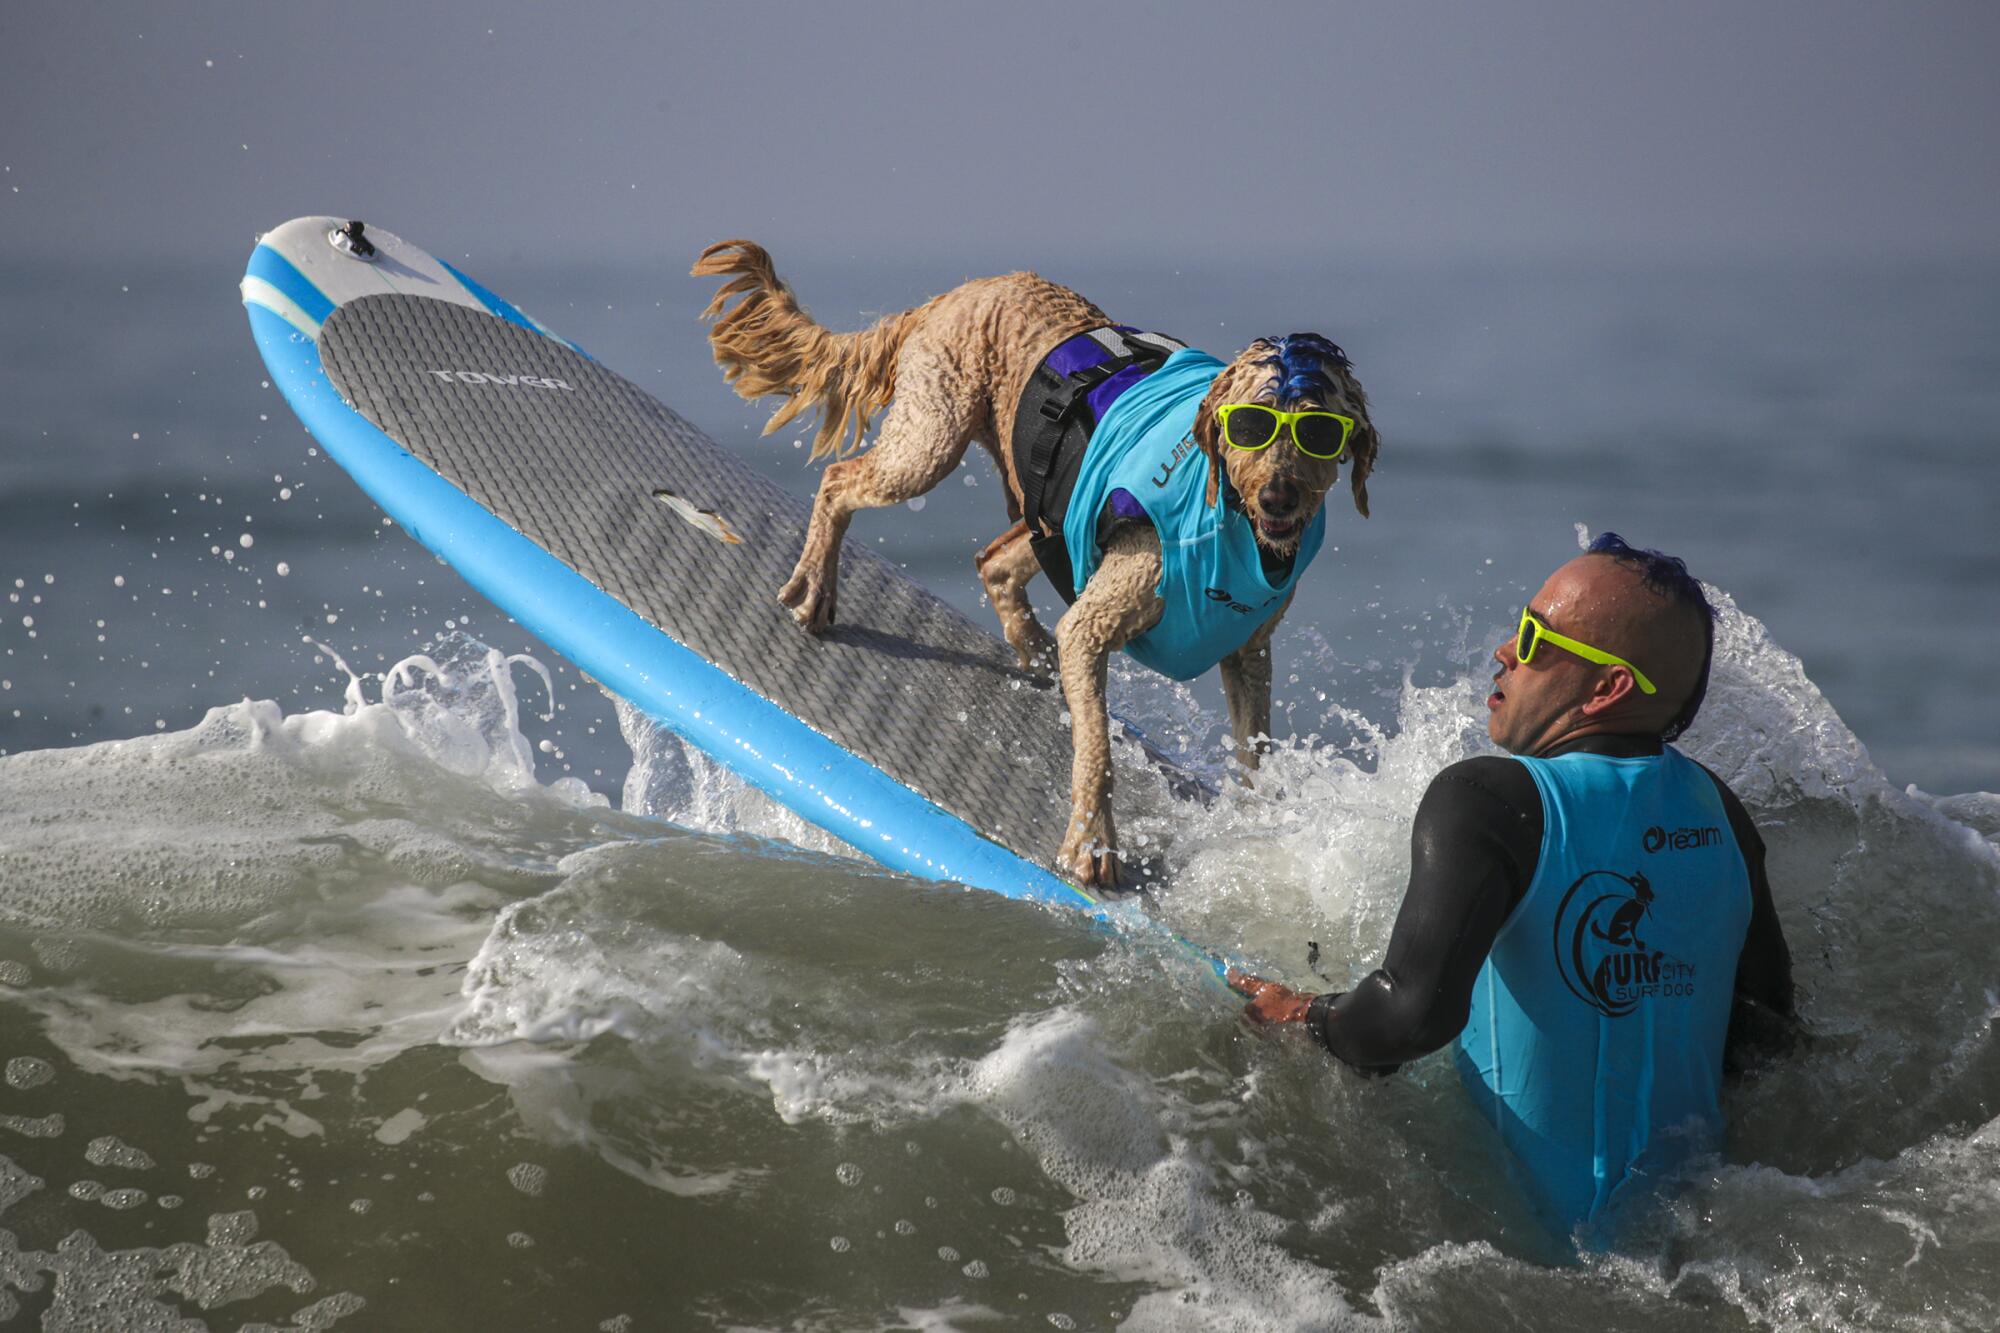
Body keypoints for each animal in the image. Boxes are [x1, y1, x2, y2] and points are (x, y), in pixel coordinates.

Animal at [692, 241, 1376, 880]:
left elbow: (1254, 752)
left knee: (994, 559)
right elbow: (1097, 748)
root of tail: (948, 297)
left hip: (1046, 506)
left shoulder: (1249, 652)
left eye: (1320, 431)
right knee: (839, 481)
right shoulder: (1098, 620)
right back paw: (815, 584)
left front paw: (1262, 823)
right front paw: (1092, 844)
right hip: (930, 440)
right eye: (1251, 426)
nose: (1279, 496)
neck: (1232, 518)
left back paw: (1033, 650)